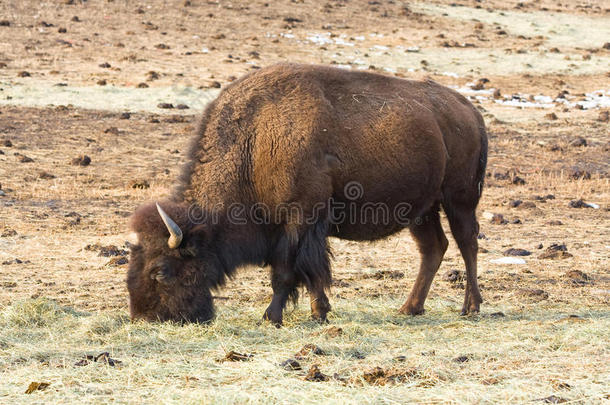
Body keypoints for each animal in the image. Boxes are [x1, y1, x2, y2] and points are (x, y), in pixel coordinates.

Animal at [126, 63, 486, 326]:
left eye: (161, 270)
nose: (145, 317)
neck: (254, 144)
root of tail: (468, 109)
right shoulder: (305, 229)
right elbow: (312, 272)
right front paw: (319, 312)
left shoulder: (299, 220)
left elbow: (286, 272)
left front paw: (271, 317)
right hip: (423, 210)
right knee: (433, 248)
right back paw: (409, 308)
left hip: (459, 199)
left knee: (467, 243)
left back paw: (470, 307)